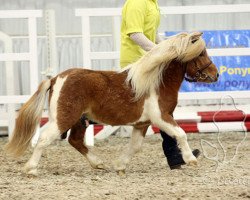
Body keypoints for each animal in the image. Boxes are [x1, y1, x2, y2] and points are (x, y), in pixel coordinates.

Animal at [4, 31, 218, 175]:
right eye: (201, 53)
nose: (216, 75)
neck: (156, 82)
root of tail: (56, 78)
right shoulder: (161, 117)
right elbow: (180, 134)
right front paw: (191, 159)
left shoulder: (142, 123)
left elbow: (135, 146)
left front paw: (120, 165)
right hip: (64, 118)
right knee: (44, 138)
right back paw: (30, 169)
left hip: (80, 120)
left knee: (75, 141)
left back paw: (98, 163)